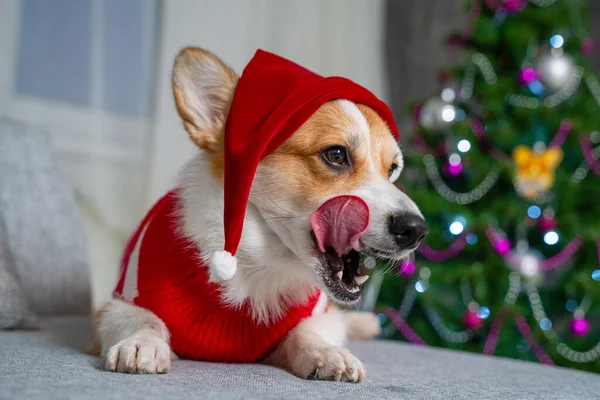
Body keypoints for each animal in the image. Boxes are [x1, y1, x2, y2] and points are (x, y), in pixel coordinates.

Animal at [94, 46, 426, 382]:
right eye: (335, 155)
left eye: (392, 169)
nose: (416, 230)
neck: (258, 262)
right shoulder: (111, 309)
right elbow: (145, 319)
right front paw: (141, 344)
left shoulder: (319, 315)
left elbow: (307, 331)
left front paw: (328, 352)